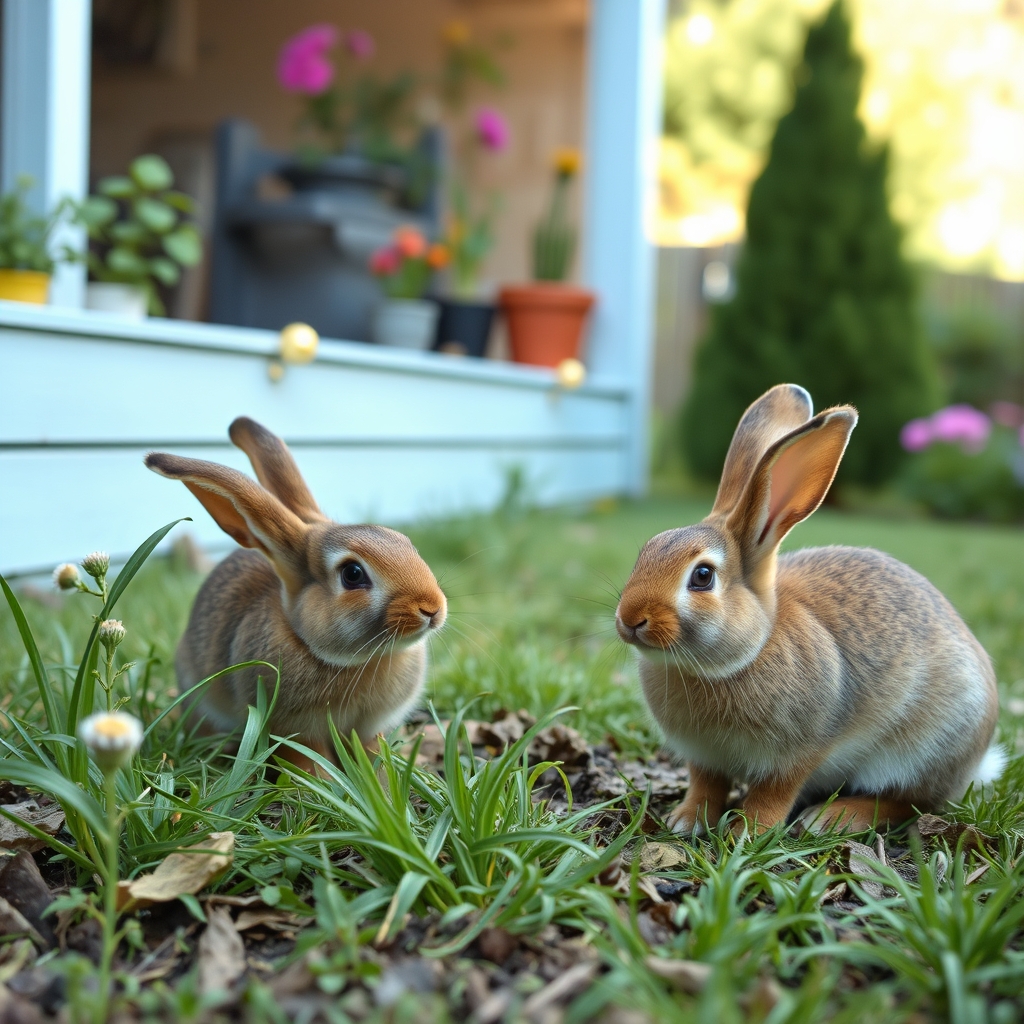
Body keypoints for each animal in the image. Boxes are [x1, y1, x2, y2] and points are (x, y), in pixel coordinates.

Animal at [145, 416, 446, 768]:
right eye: (352, 574)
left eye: (404, 541)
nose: (432, 608)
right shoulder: (293, 731)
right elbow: (309, 762)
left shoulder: (367, 730)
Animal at [615, 384, 1002, 835]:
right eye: (646, 550)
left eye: (703, 577)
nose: (630, 620)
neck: (746, 652)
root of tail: (976, 762)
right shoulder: (704, 758)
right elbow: (706, 785)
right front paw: (685, 820)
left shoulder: (798, 753)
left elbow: (775, 793)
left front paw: (748, 832)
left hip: (924, 748)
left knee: (908, 802)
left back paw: (831, 818)